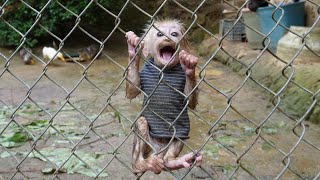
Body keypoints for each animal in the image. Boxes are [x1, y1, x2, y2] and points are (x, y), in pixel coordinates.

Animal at [125, 19, 202, 174]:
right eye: (159, 34)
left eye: (174, 34)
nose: (168, 38)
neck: (165, 70)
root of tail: (158, 152)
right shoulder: (146, 71)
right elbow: (132, 90)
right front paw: (133, 49)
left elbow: (190, 102)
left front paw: (189, 66)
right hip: (149, 147)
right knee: (141, 122)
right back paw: (140, 165)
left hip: (173, 139)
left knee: (179, 134)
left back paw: (174, 162)